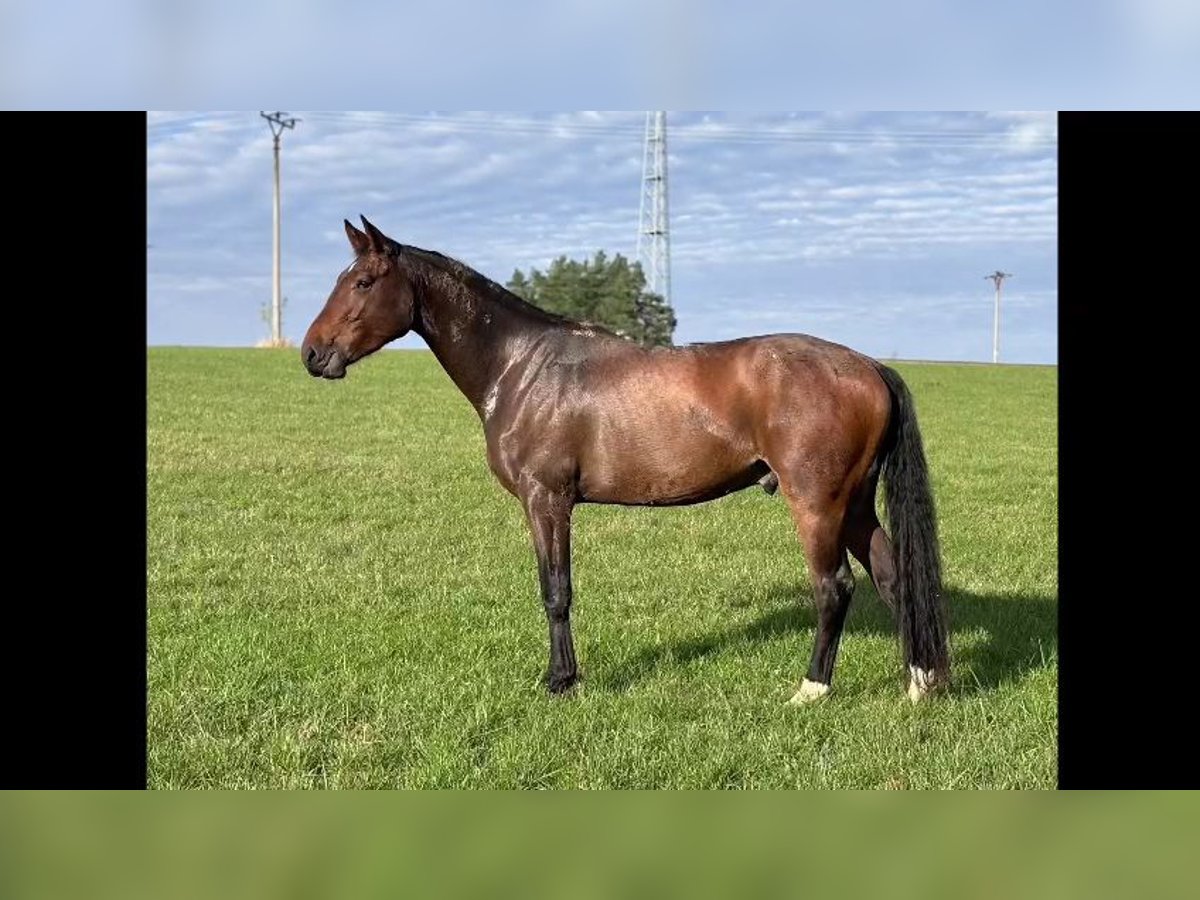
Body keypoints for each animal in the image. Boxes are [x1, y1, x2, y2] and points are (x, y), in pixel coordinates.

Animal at [300, 218, 945, 705]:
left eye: (363, 281)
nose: (311, 353)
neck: (522, 366)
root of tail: (869, 366)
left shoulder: (547, 500)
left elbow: (556, 591)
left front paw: (561, 682)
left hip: (817, 503)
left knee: (834, 587)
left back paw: (811, 690)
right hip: (854, 504)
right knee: (893, 577)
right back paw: (921, 683)